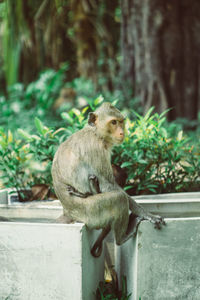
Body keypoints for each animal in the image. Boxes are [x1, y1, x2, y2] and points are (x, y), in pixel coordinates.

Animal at [52, 102, 166, 256]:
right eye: (113, 122)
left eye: (121, 122)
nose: (122, 132)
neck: (96, 133)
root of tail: (69, 212)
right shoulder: (97, 149)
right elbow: (109, 186)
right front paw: (147, 214)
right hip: (91, 212)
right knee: (119, 199)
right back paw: (122, 237)